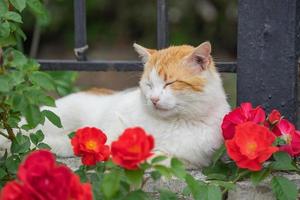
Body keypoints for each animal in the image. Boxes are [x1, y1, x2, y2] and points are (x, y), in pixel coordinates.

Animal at [1, 41, 230, 168]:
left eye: (169, 83)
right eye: (149, 84)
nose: (153, 99)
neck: (175, 122)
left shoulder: (193, 160)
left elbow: (162, 159)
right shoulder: (117, 120)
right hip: (55, 117)